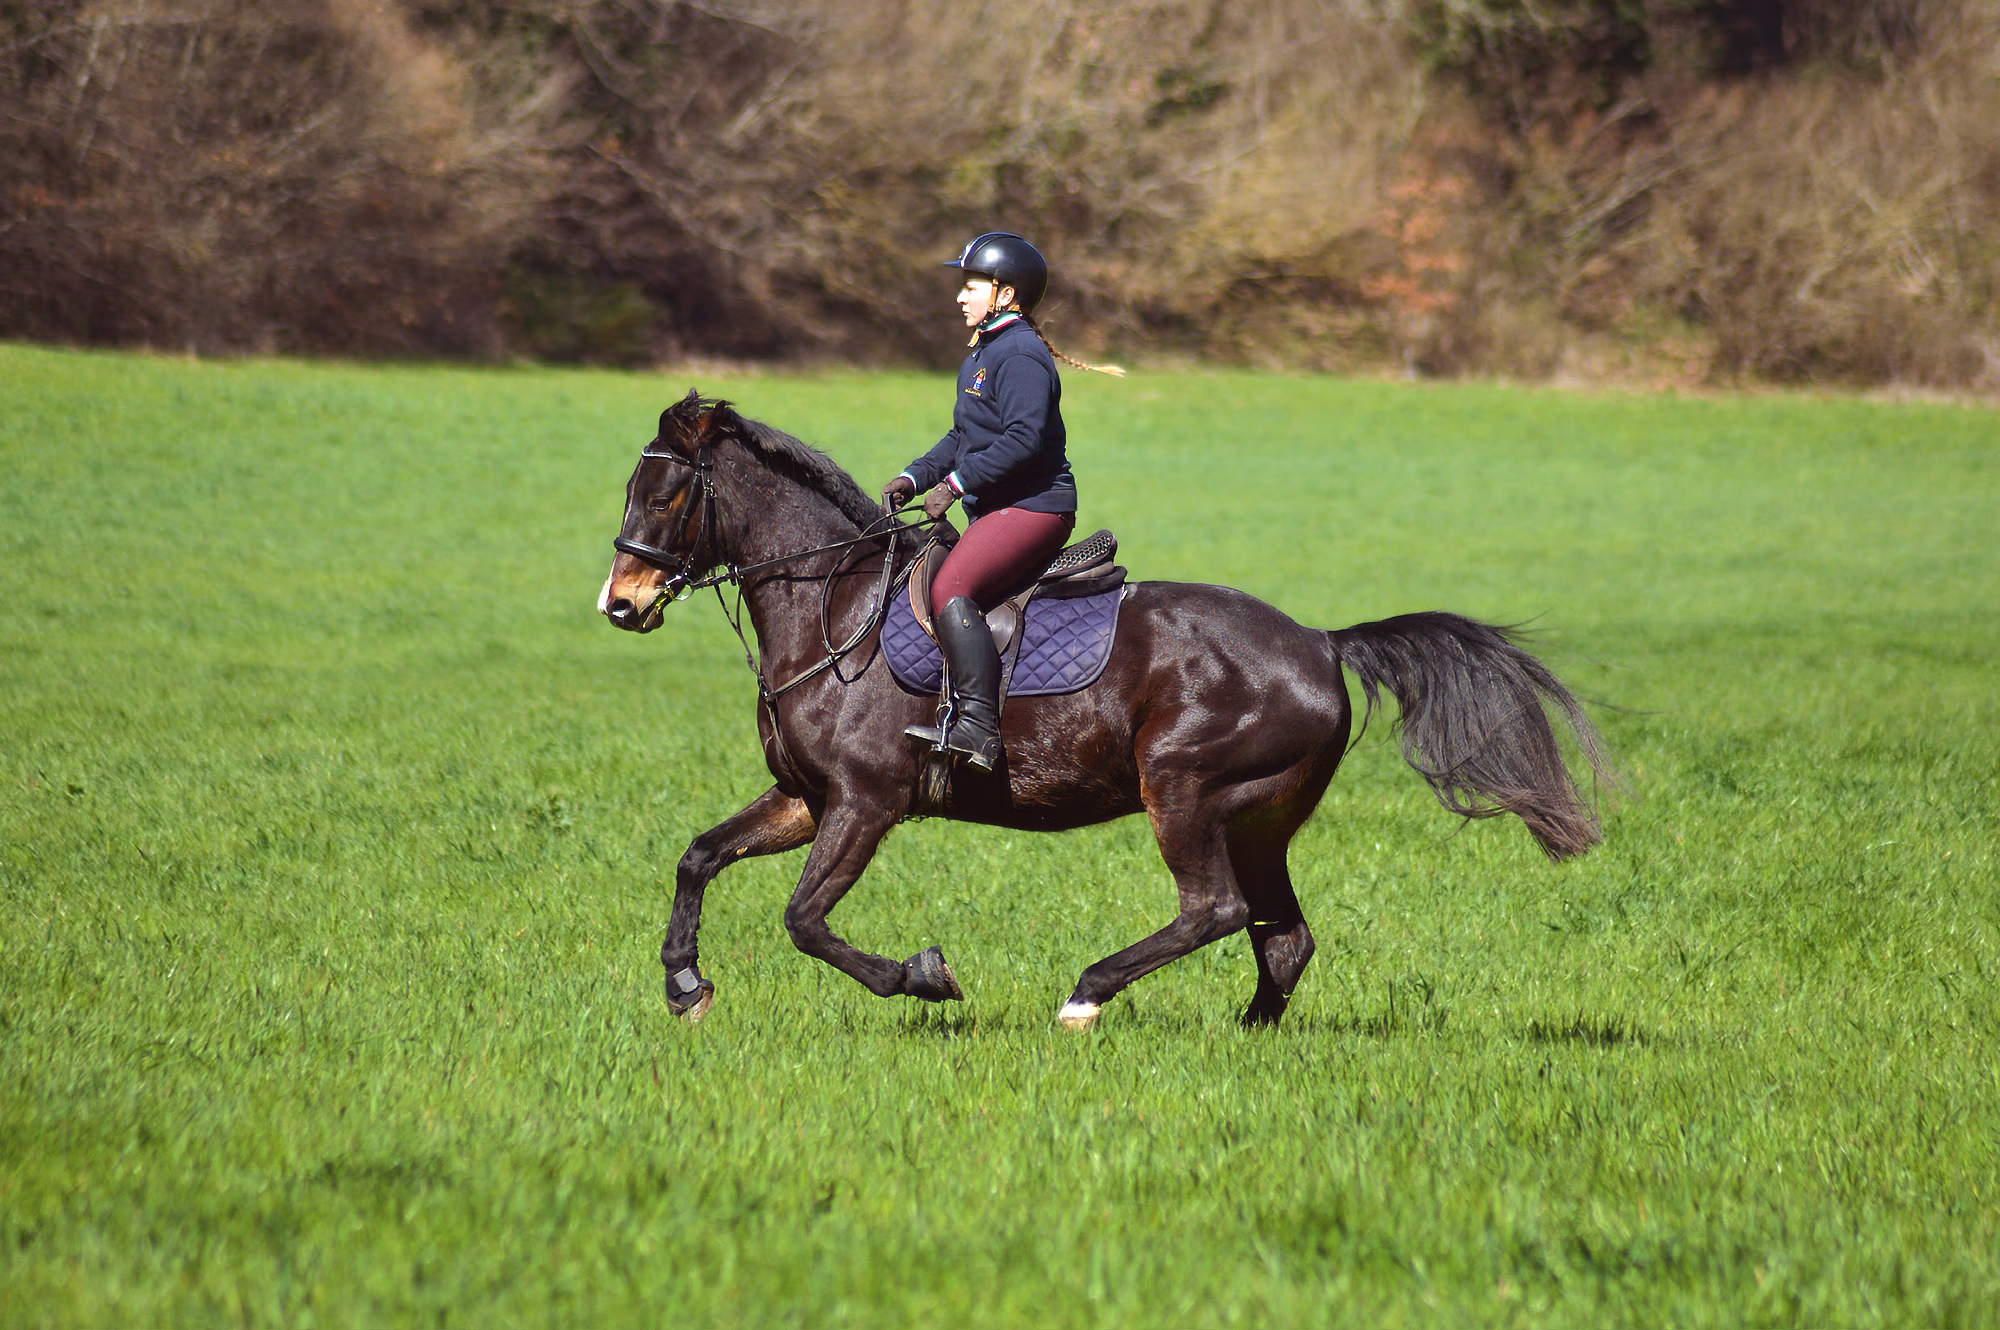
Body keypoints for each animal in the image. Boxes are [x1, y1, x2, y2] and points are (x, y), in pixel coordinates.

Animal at [599, 392, 1613, 1029]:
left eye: (668, 491)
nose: (620, 603)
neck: (834, 610)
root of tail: (1323, 643)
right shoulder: (806, 799)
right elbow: (698, 857)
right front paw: (686, 986)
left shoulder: (865, 801)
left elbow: (805, 920)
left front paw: (924, 978)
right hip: (1259, 818)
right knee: (1281, 935)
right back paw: (1247, 1034)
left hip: (1187, 790)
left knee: (1214, 910)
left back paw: (1086, 996)